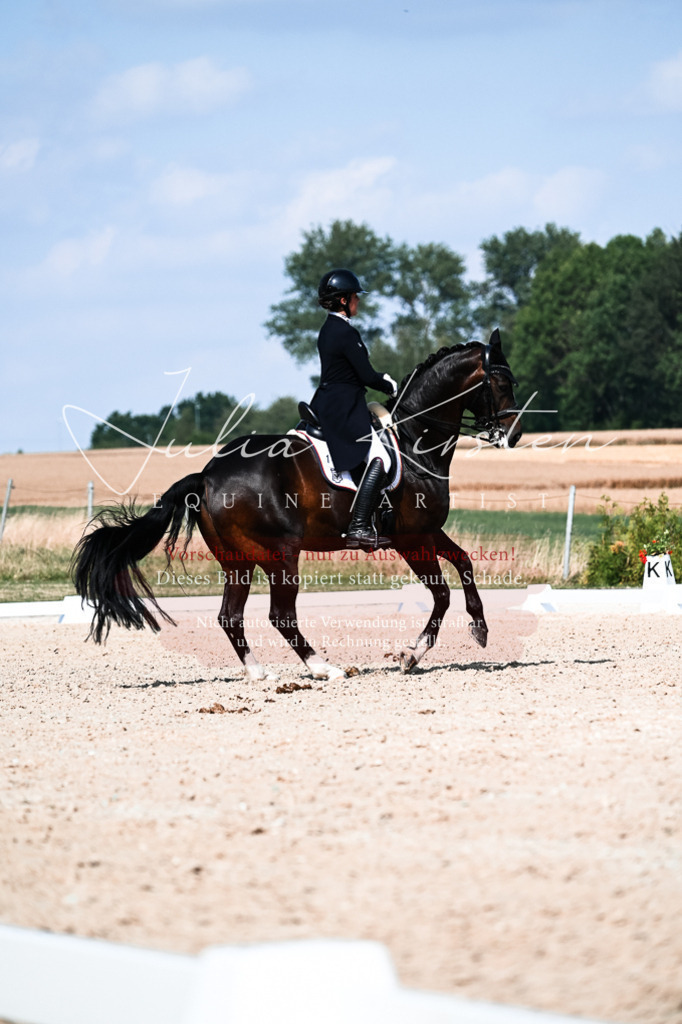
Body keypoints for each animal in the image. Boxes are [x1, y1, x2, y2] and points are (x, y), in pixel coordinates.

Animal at [72, 329, 522, 679]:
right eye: (503, 384)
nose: (514, 436)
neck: (413, 440)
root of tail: (207, 475)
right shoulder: (412, 538)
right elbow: (441, 593)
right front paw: (411, 655)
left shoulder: (427, 532)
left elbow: (464, 562)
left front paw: (480, 629)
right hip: (280, 553)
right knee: (281, 615)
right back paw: (324, 668)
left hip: (238, 560)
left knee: (231, 616)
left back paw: (258, 673)